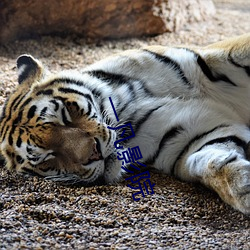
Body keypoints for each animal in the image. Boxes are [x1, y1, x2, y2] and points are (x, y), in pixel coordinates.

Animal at [0, 32, 250, 213]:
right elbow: (210, 162)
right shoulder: (187, 138)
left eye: (65, 116)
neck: (126, 106)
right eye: (48, 158)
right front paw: (243, 188)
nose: (95, 153)